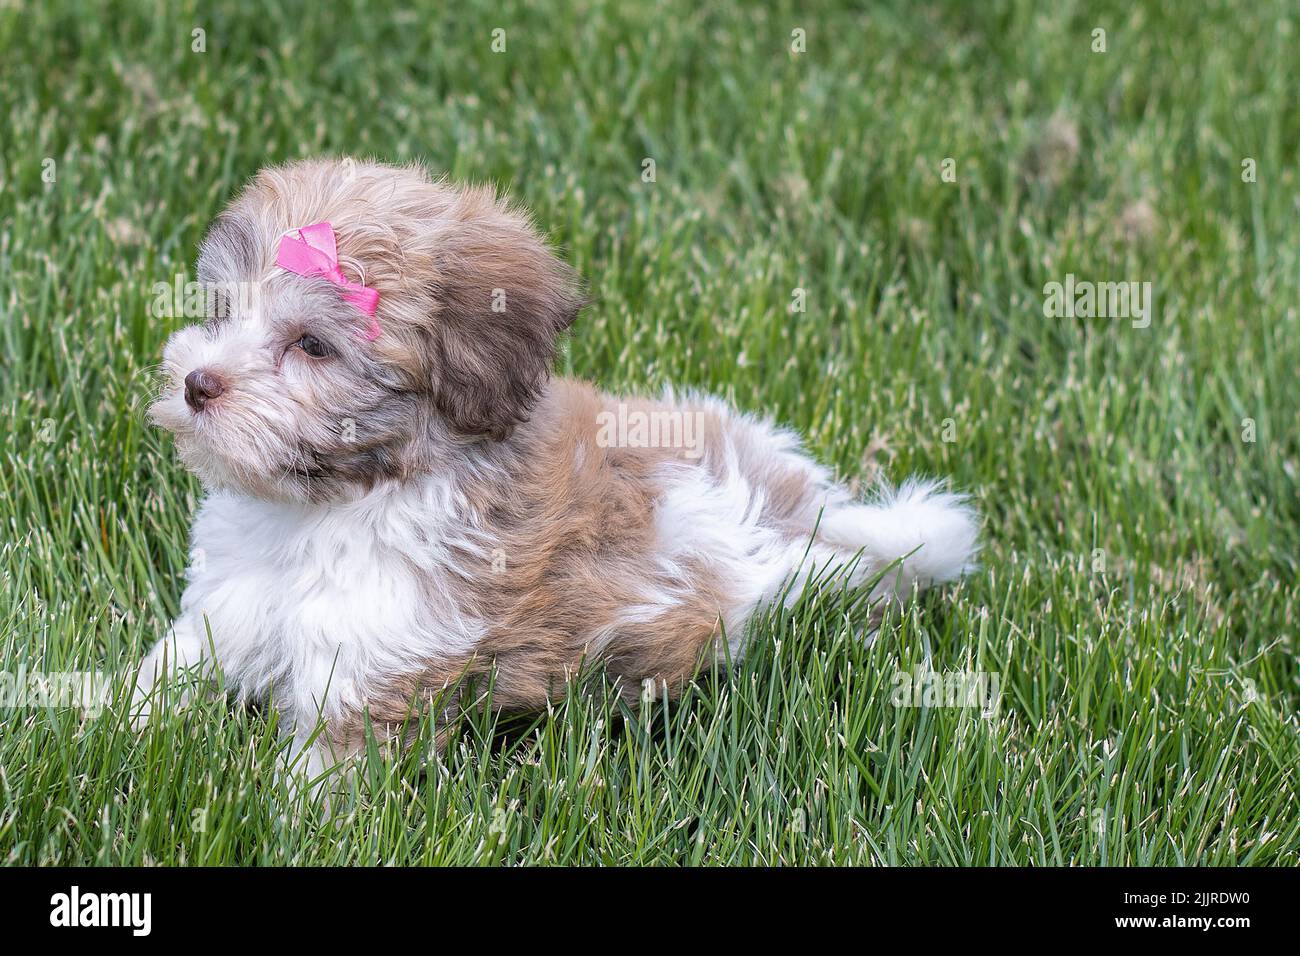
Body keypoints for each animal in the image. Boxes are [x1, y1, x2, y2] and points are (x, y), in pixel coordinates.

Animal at [137, 157, 977, 785]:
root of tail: (794, 509)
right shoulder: (234, 601)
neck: (327, 504)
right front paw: (115, 717)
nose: (198, 383)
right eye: (220, 310)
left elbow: (330, 754)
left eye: (312, 345)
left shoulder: (379, 651)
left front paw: (295, 817)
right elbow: (178, 664)